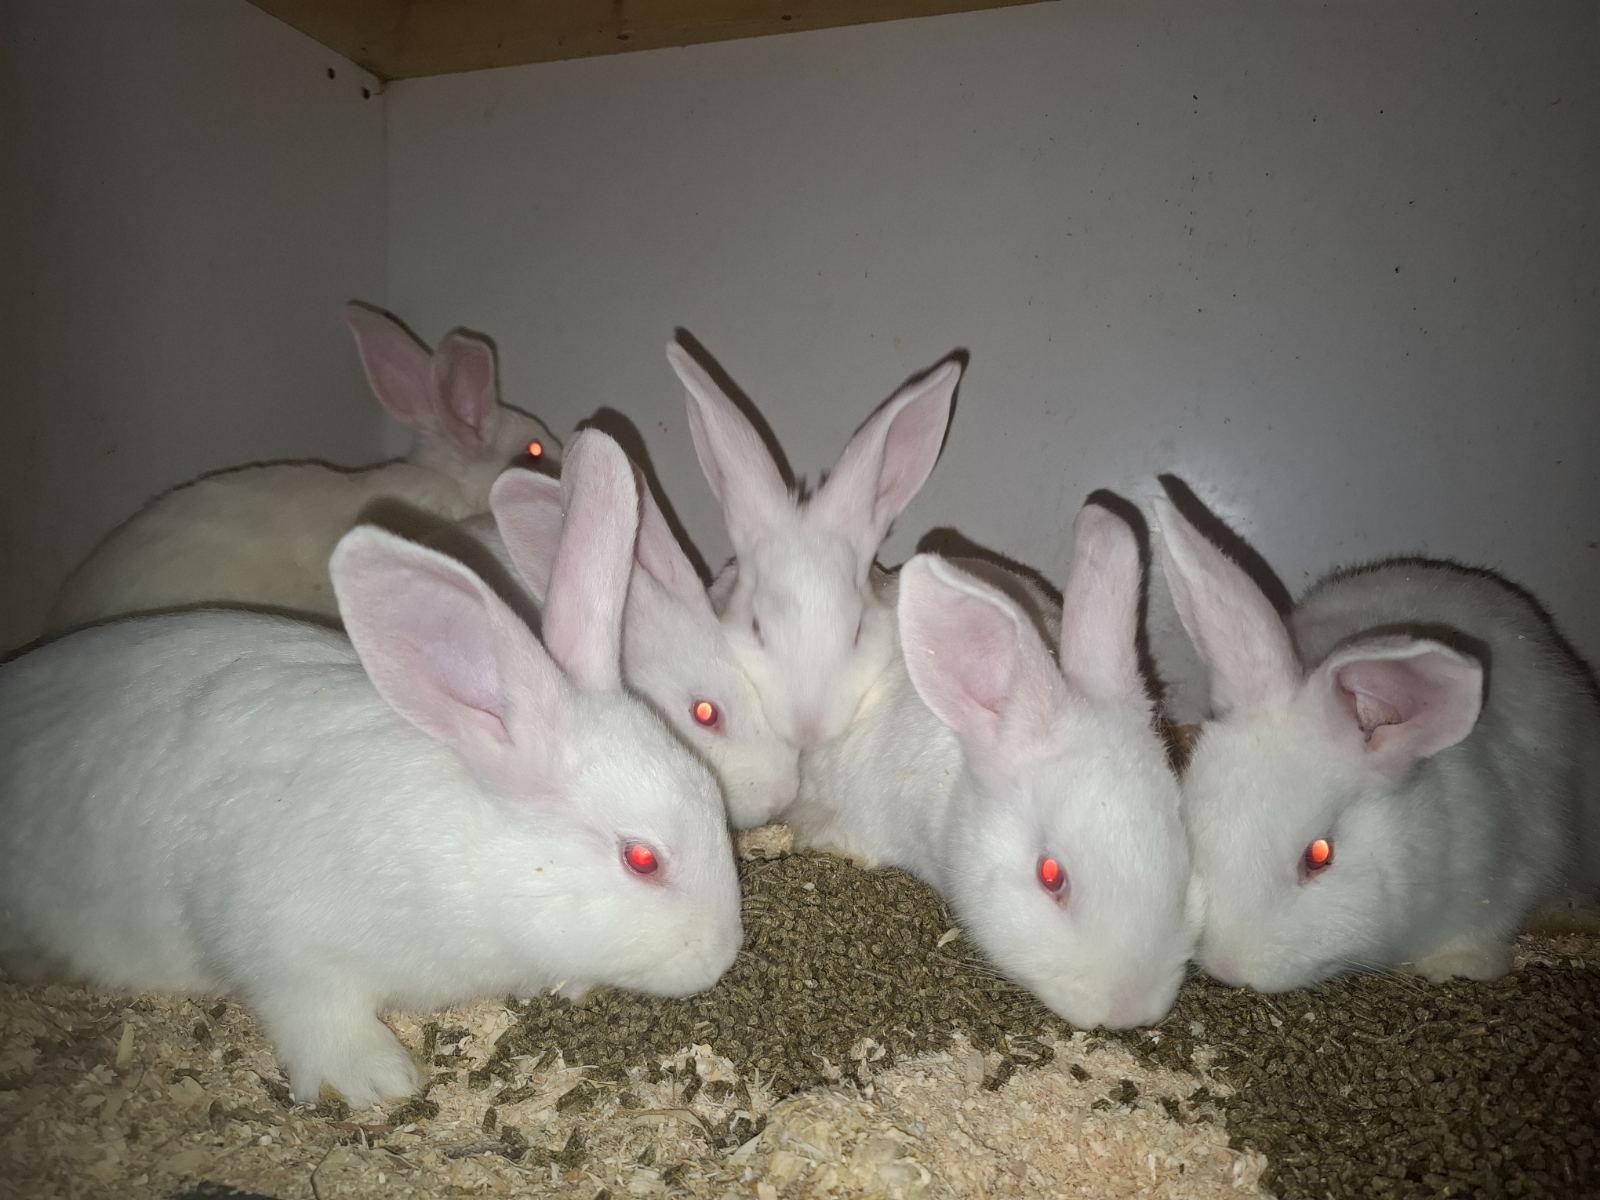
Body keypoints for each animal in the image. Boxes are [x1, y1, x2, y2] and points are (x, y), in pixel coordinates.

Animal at [0, 429, 742, 1109]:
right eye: (641, 859)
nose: (721, 957)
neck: (477, 858)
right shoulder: (277, 939)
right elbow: (313, 1010)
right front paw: (377, 1083)